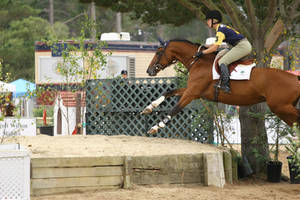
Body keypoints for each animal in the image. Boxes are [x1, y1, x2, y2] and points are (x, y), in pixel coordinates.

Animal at [142, 38, 300, 134]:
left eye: (158, 52)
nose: (149, 71)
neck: (199, 62)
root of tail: (295, 78)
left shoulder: (192, 93)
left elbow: (175, 108)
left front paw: (156, 127)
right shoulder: (194, 91)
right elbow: (169, 92)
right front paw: (149, 107)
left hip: (280, 107)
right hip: (283, 110)